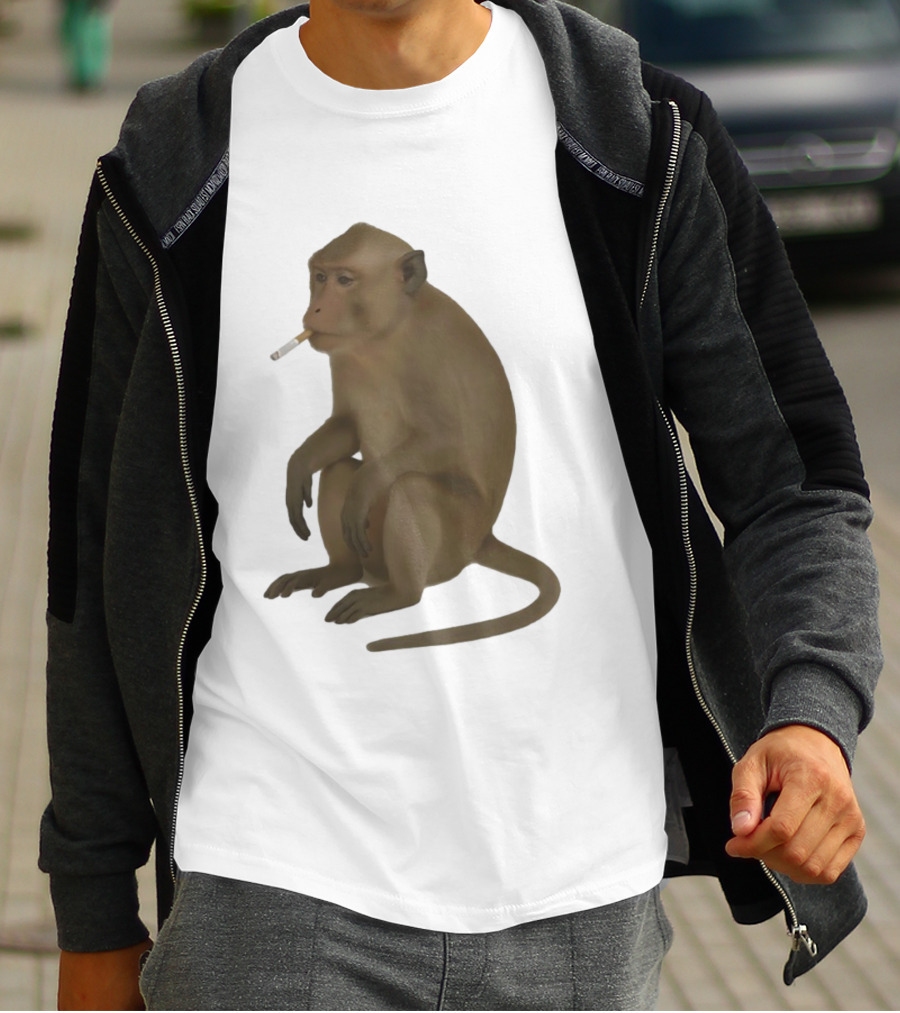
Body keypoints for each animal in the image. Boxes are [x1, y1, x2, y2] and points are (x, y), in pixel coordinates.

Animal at [264, 223, 560, 652]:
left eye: (344, 281)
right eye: (319, 277)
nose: (314, 310)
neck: (384, 334)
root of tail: (482, 538)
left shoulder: (430, 350)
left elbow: (446, 442)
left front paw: (366, 484)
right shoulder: (342, 355)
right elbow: (347, 429)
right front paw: (298, 464)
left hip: (453, 544)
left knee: (410, 488)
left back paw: (398, 594)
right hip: (376, 552)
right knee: (339, 470)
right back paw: (339, 571)